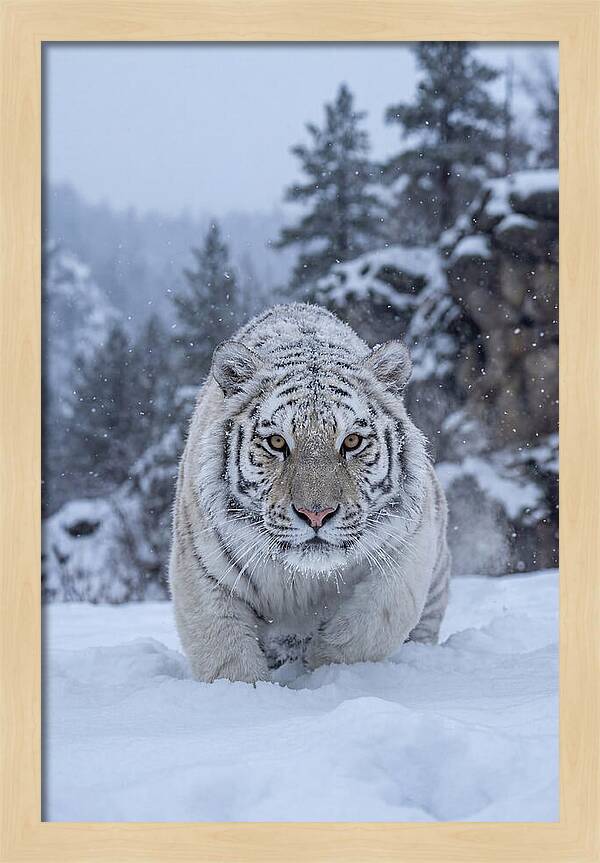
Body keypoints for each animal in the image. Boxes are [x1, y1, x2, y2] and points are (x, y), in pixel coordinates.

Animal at [169, 303, 450, 683]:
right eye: (276, 442)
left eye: (352, 441)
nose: (316, 514)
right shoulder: (202, 571)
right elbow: (226, 655)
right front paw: (248, 691)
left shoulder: (407, 549)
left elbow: (372, 624)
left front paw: (323, 665)